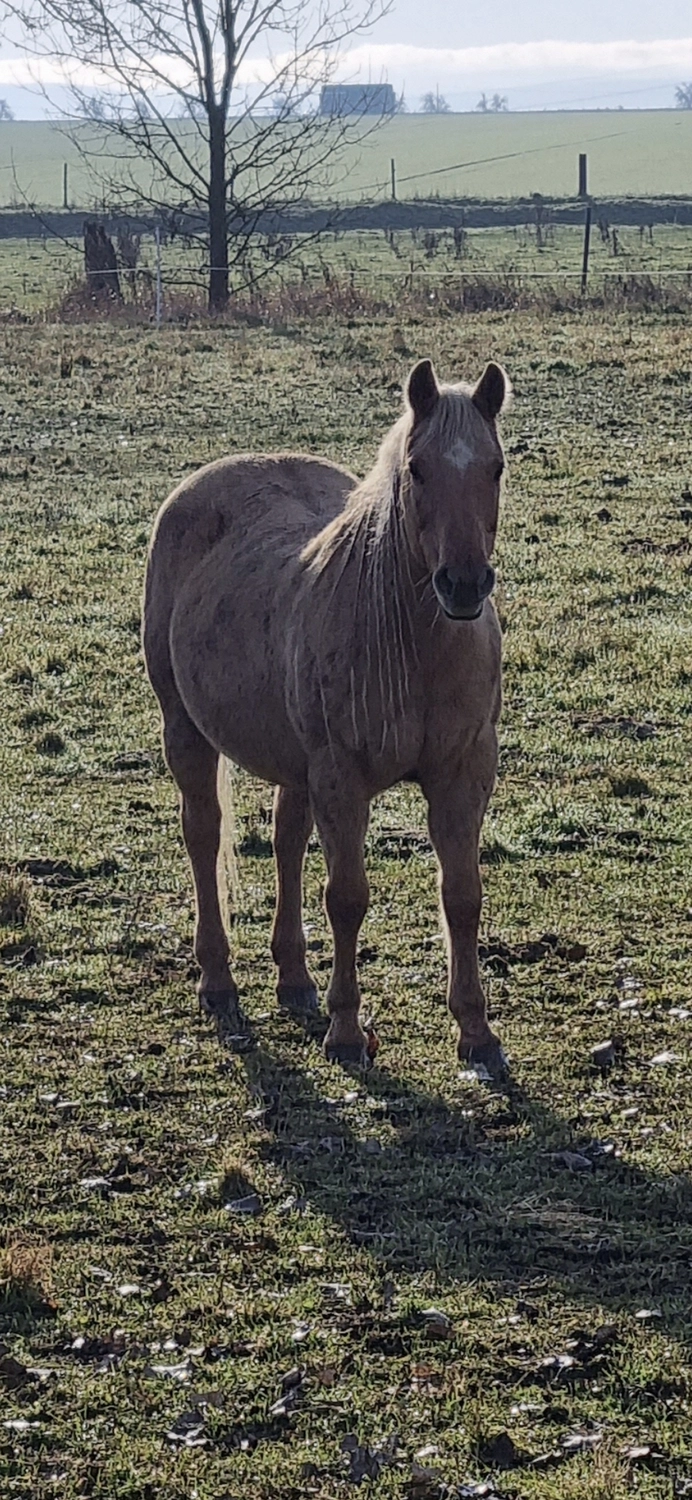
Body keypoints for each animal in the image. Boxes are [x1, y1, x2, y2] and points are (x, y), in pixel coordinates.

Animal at [143, 356, 509, 1077]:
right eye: (417, 468)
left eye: (496, 466)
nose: (463, 584)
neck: (414, 646)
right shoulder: (342, 777)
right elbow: (347, 897)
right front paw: (345, 1030)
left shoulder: (463, 773)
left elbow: (462, 895)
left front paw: (476, 1030)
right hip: (187, 732)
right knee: (203, 836)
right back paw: (218, 979)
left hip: (294, 762)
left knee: (286, 839)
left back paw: (293, 977)